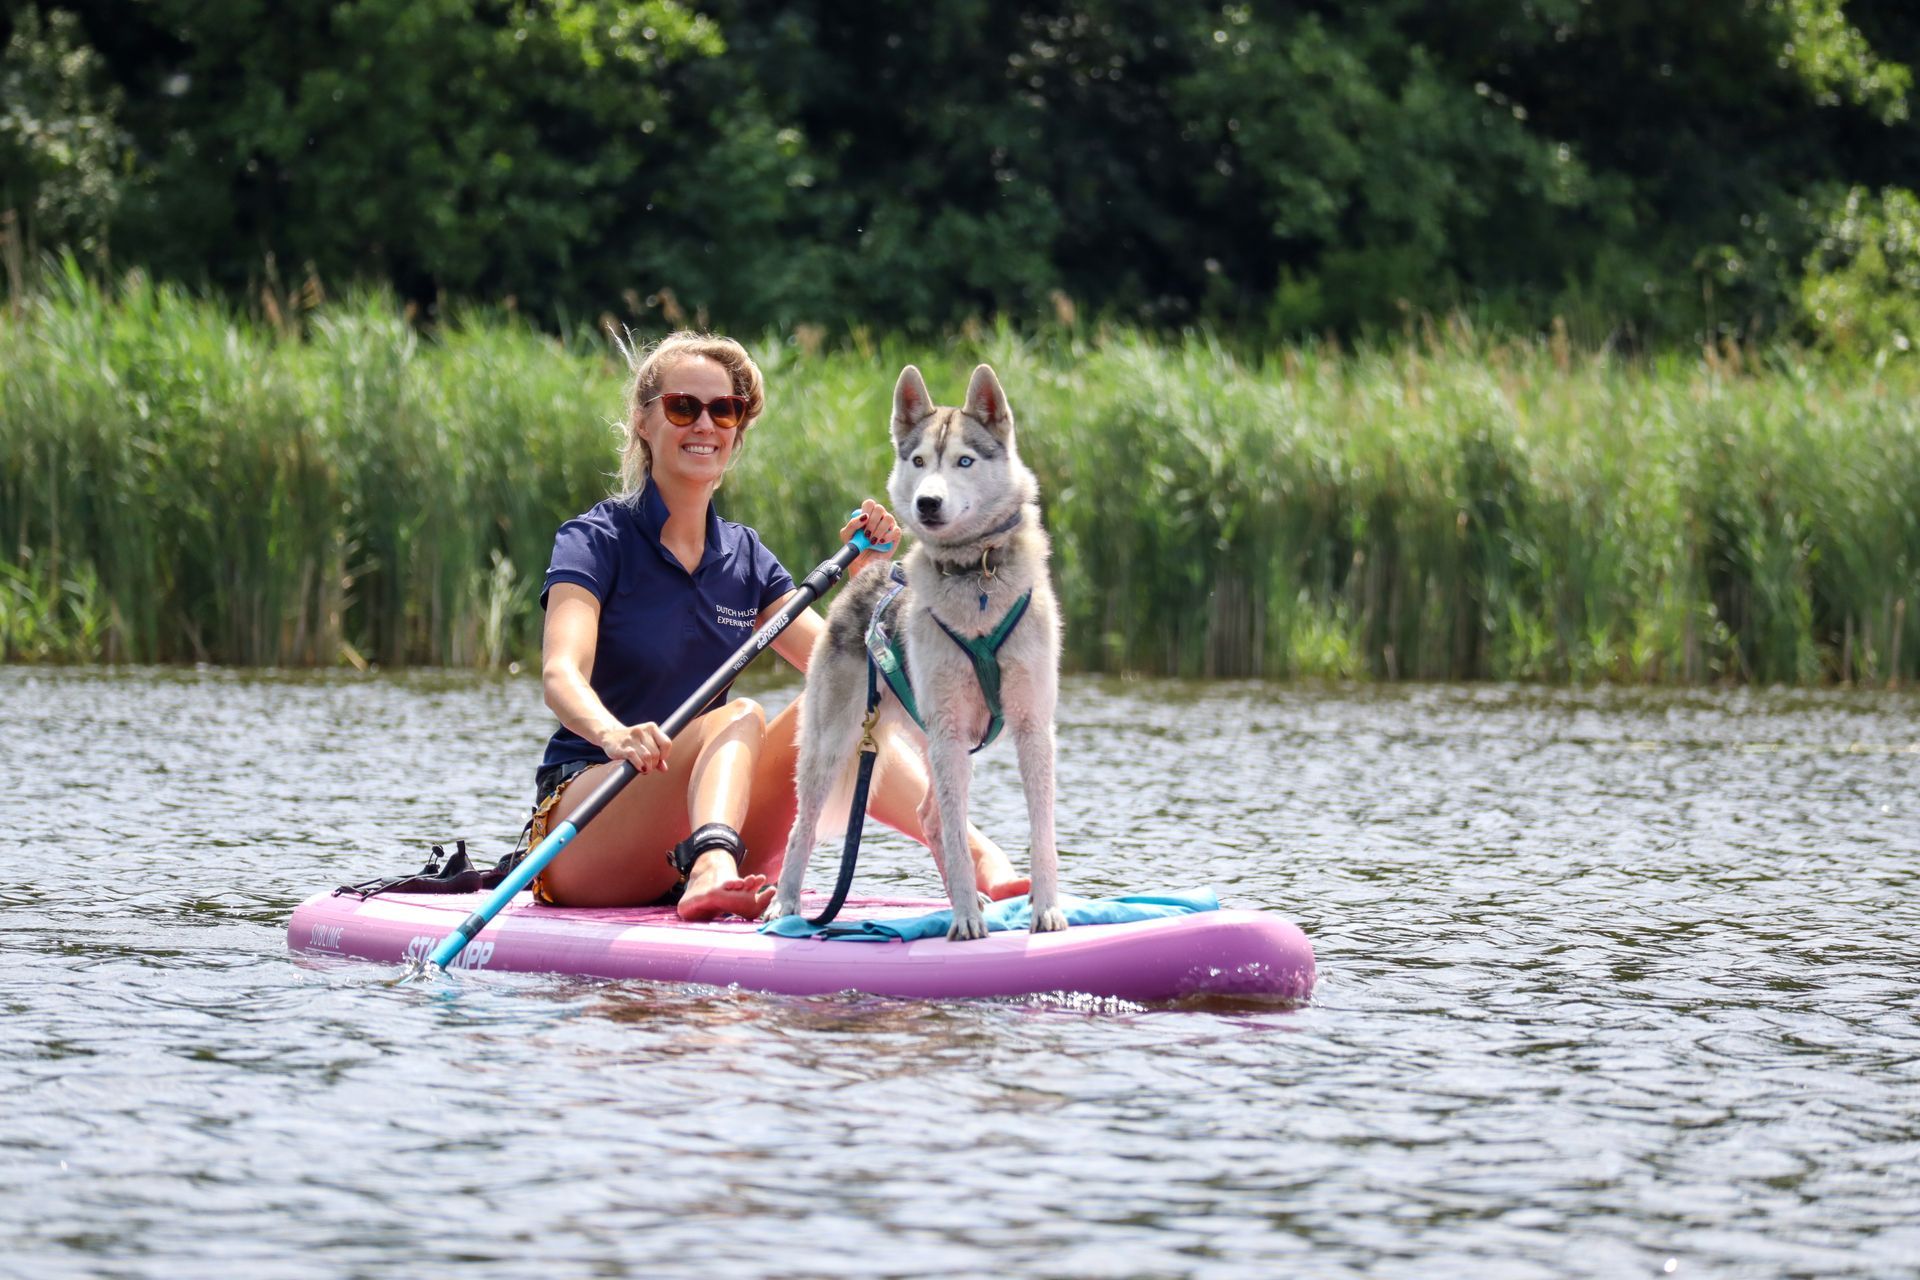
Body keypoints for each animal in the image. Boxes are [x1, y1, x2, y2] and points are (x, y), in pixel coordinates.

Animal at [764, 362, 1067, 940]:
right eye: (919, 461)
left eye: (964, 461)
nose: (927, 503)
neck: (976, 577)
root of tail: (870, 577)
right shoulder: (948, 729)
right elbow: (955, 831)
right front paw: (968, 918)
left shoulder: (1032, 726)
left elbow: (1041, 834)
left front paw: (1045, 910)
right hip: (833, 745)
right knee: (801, 827)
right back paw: (784, 906)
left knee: (930, 816)